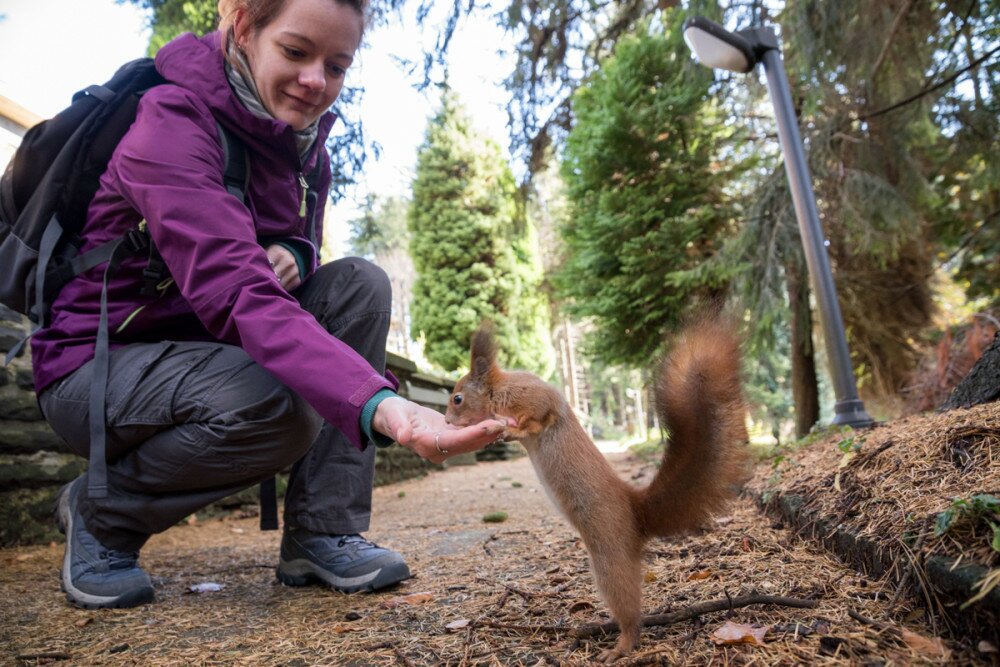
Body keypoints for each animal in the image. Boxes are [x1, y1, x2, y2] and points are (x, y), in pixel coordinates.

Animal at [448, 318, 752, 664]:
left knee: (629, 611)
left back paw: (621, 645)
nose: (447, 420)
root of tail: (637, 512)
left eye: (457, 398)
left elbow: (540, 416)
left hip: (609, 556)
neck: (498, 391)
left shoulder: (535, 397)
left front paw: (512, 428)